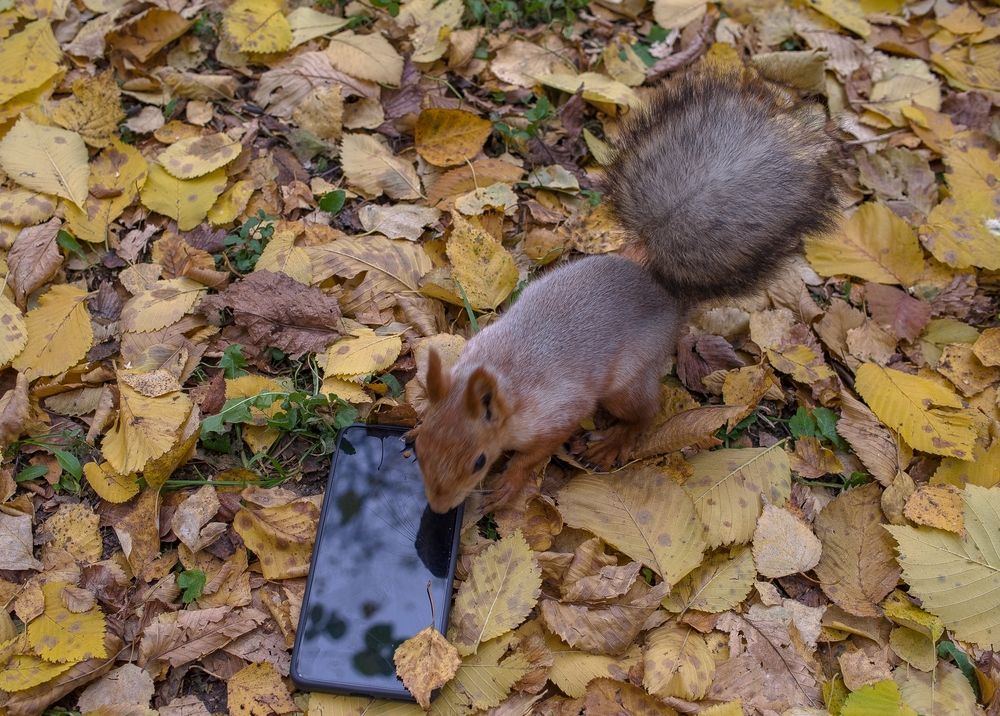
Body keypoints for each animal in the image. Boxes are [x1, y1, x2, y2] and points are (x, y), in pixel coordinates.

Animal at [411, 63, 841, 514]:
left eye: (479, 461)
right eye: (423, 444)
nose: (439, 507)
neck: (502, 378)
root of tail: (663, 290)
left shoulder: (557, 412)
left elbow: (536, 453)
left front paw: (510, 484)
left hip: (628, 380)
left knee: (646, 412)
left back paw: (613, 441)